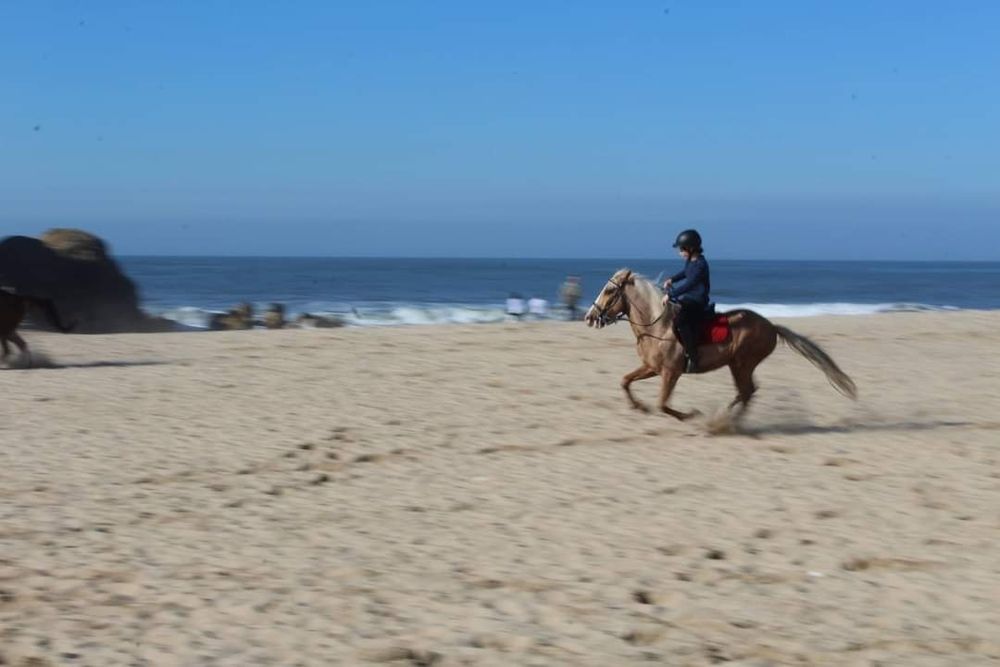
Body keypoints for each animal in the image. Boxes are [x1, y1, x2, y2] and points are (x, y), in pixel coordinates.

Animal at [584, 269, 856, 421]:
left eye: (609, 290)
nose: (589, 317)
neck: (657, 326)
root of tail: (771, 326)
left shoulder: (671, 373)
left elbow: (663, 404)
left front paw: (691, 414)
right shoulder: (652, 368)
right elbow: (625, 381)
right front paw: (638, 406)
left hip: (742, 364)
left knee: (747, 392)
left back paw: (727, 422)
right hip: (737, 365)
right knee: (746, 392)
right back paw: (727, 415)